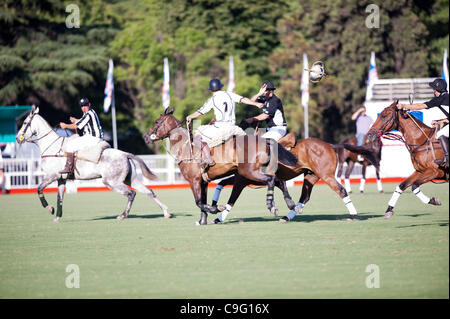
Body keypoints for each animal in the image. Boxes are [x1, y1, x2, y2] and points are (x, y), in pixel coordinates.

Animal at [16, 106, 171, 224]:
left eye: (25, 123)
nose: (18, 139)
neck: (52, 147)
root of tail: (125, 154)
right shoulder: (61, 179)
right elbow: (60, 198)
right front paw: (57, 217)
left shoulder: (52, 175)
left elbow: (39, 189)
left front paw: (50, 209)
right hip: (130, 178)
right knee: (149, 192)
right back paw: (166, 212)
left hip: (111, 181)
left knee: (131, 193)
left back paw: (122, 215)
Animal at [142, 107, 300, 225]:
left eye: (157, 121)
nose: (146, 137)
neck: (185, 147)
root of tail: (265, 140)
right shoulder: (203, 181)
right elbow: (203, 200)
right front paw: (202, 221)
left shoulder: (194, 180)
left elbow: (198, 202)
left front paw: (217, 208)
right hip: (252, 173)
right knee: (278, 181)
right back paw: (292, 205)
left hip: (249, 172)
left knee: (271, 180)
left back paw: (272, 205)